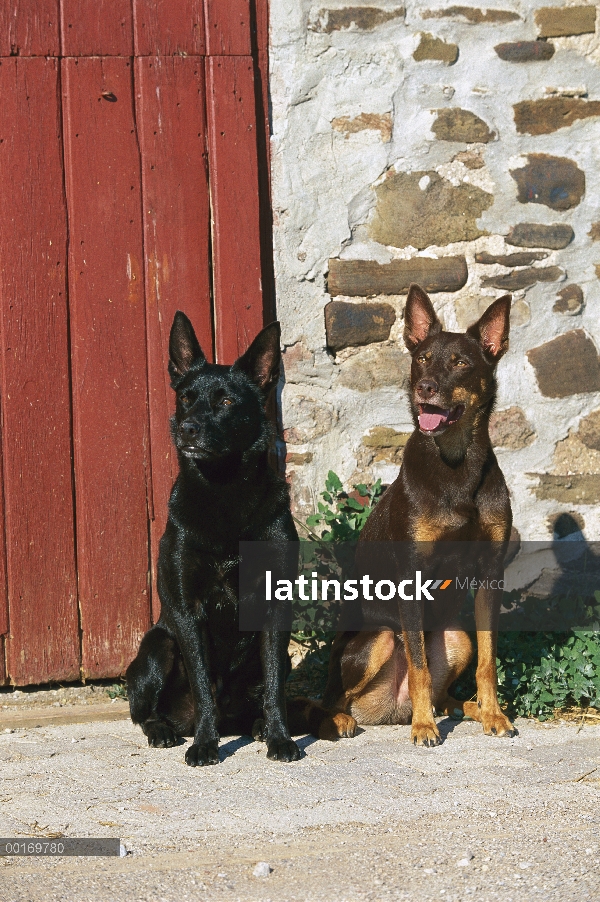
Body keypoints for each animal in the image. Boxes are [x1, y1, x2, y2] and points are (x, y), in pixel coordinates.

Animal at [127, 314, 304, 768]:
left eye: (226, 402)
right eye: (186, 398)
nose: (188, 429)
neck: (224, 492)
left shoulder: (275, 607)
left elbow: (275, 686)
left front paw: (280, 738)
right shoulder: (188, 611)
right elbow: (203, 683)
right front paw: (205, 744)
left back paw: (258, 727)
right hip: (157, 648)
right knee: (144, 711)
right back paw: (165, 731)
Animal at [322, 286, 516, 744]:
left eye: (461, 363)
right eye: (423, 358)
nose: (425, 388)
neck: (457, 465)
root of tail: (390, 709)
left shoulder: (490, 572)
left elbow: (488, 661)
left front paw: (494, 714)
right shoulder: (411, 575)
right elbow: (419, 665)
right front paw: (425, 726)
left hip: (456, 635)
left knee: (449, 689)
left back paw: (467, 709)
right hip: (377, 638)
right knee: (332, 699)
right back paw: (352, 720)